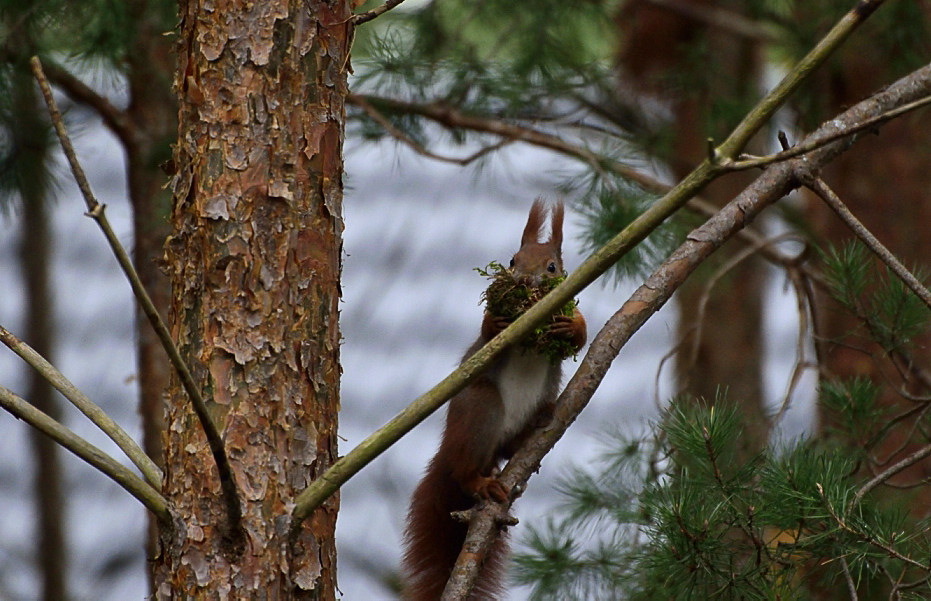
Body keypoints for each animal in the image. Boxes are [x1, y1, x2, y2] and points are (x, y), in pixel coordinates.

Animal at [402, 202, 588, 600]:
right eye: (513, 260)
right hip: (481, 408)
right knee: (465, 472)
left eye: (552, 267)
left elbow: (580, 337)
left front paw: (572, 326)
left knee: (510, 446)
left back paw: (535, 429)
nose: (525, 281)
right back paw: (479, 482)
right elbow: (487, 334)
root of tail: (449, 449)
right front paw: (498, 319)